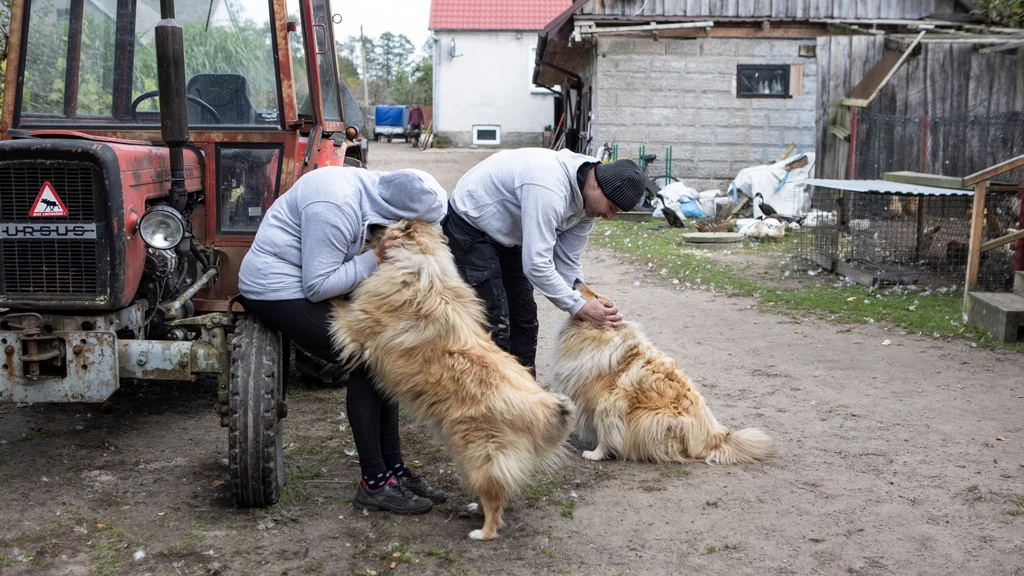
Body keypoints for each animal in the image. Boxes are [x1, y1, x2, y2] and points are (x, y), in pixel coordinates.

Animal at [329, 218, 577, 537]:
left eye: (388, 226)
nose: (369, 227)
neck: (422, 265)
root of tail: (541, 404)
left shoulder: (359, 332)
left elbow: (340, 311)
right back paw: (475, 510)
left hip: (477, 454)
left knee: (495, 499)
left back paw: (483, 531)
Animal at [548, 280, 770, 463]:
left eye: (596, 297)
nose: (576, 279)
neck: (599, 332)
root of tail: (715, 438)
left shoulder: (609, 401)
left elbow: (606, 430)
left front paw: (596, 454)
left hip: (653, 418)